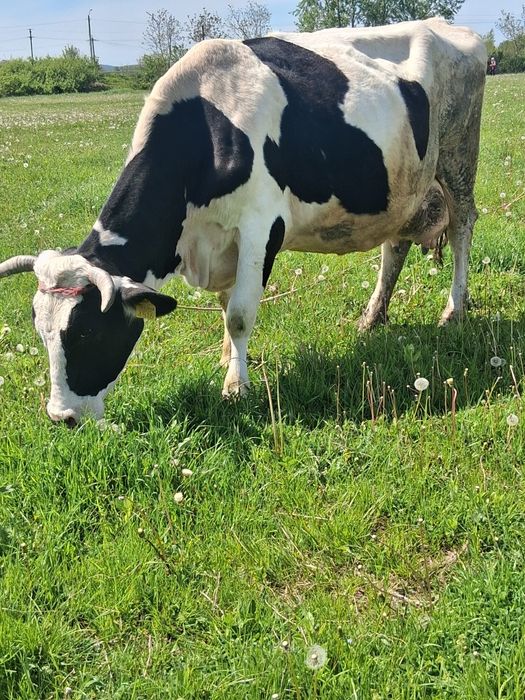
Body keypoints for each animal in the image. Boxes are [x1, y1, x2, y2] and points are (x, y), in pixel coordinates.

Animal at [0, 19, 486, 426]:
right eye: (41, 333)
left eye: (85, 333)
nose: (61, 417)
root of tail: (444, 23)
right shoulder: (220, 243)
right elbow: (223, 305)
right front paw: (226, 359)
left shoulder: (260, 227)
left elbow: (238, 313)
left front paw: (236, 385)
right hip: (403, 188)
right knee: (395, 245)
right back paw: (373, 317)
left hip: (458, 157)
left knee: (463, 226)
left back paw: (453, 311)